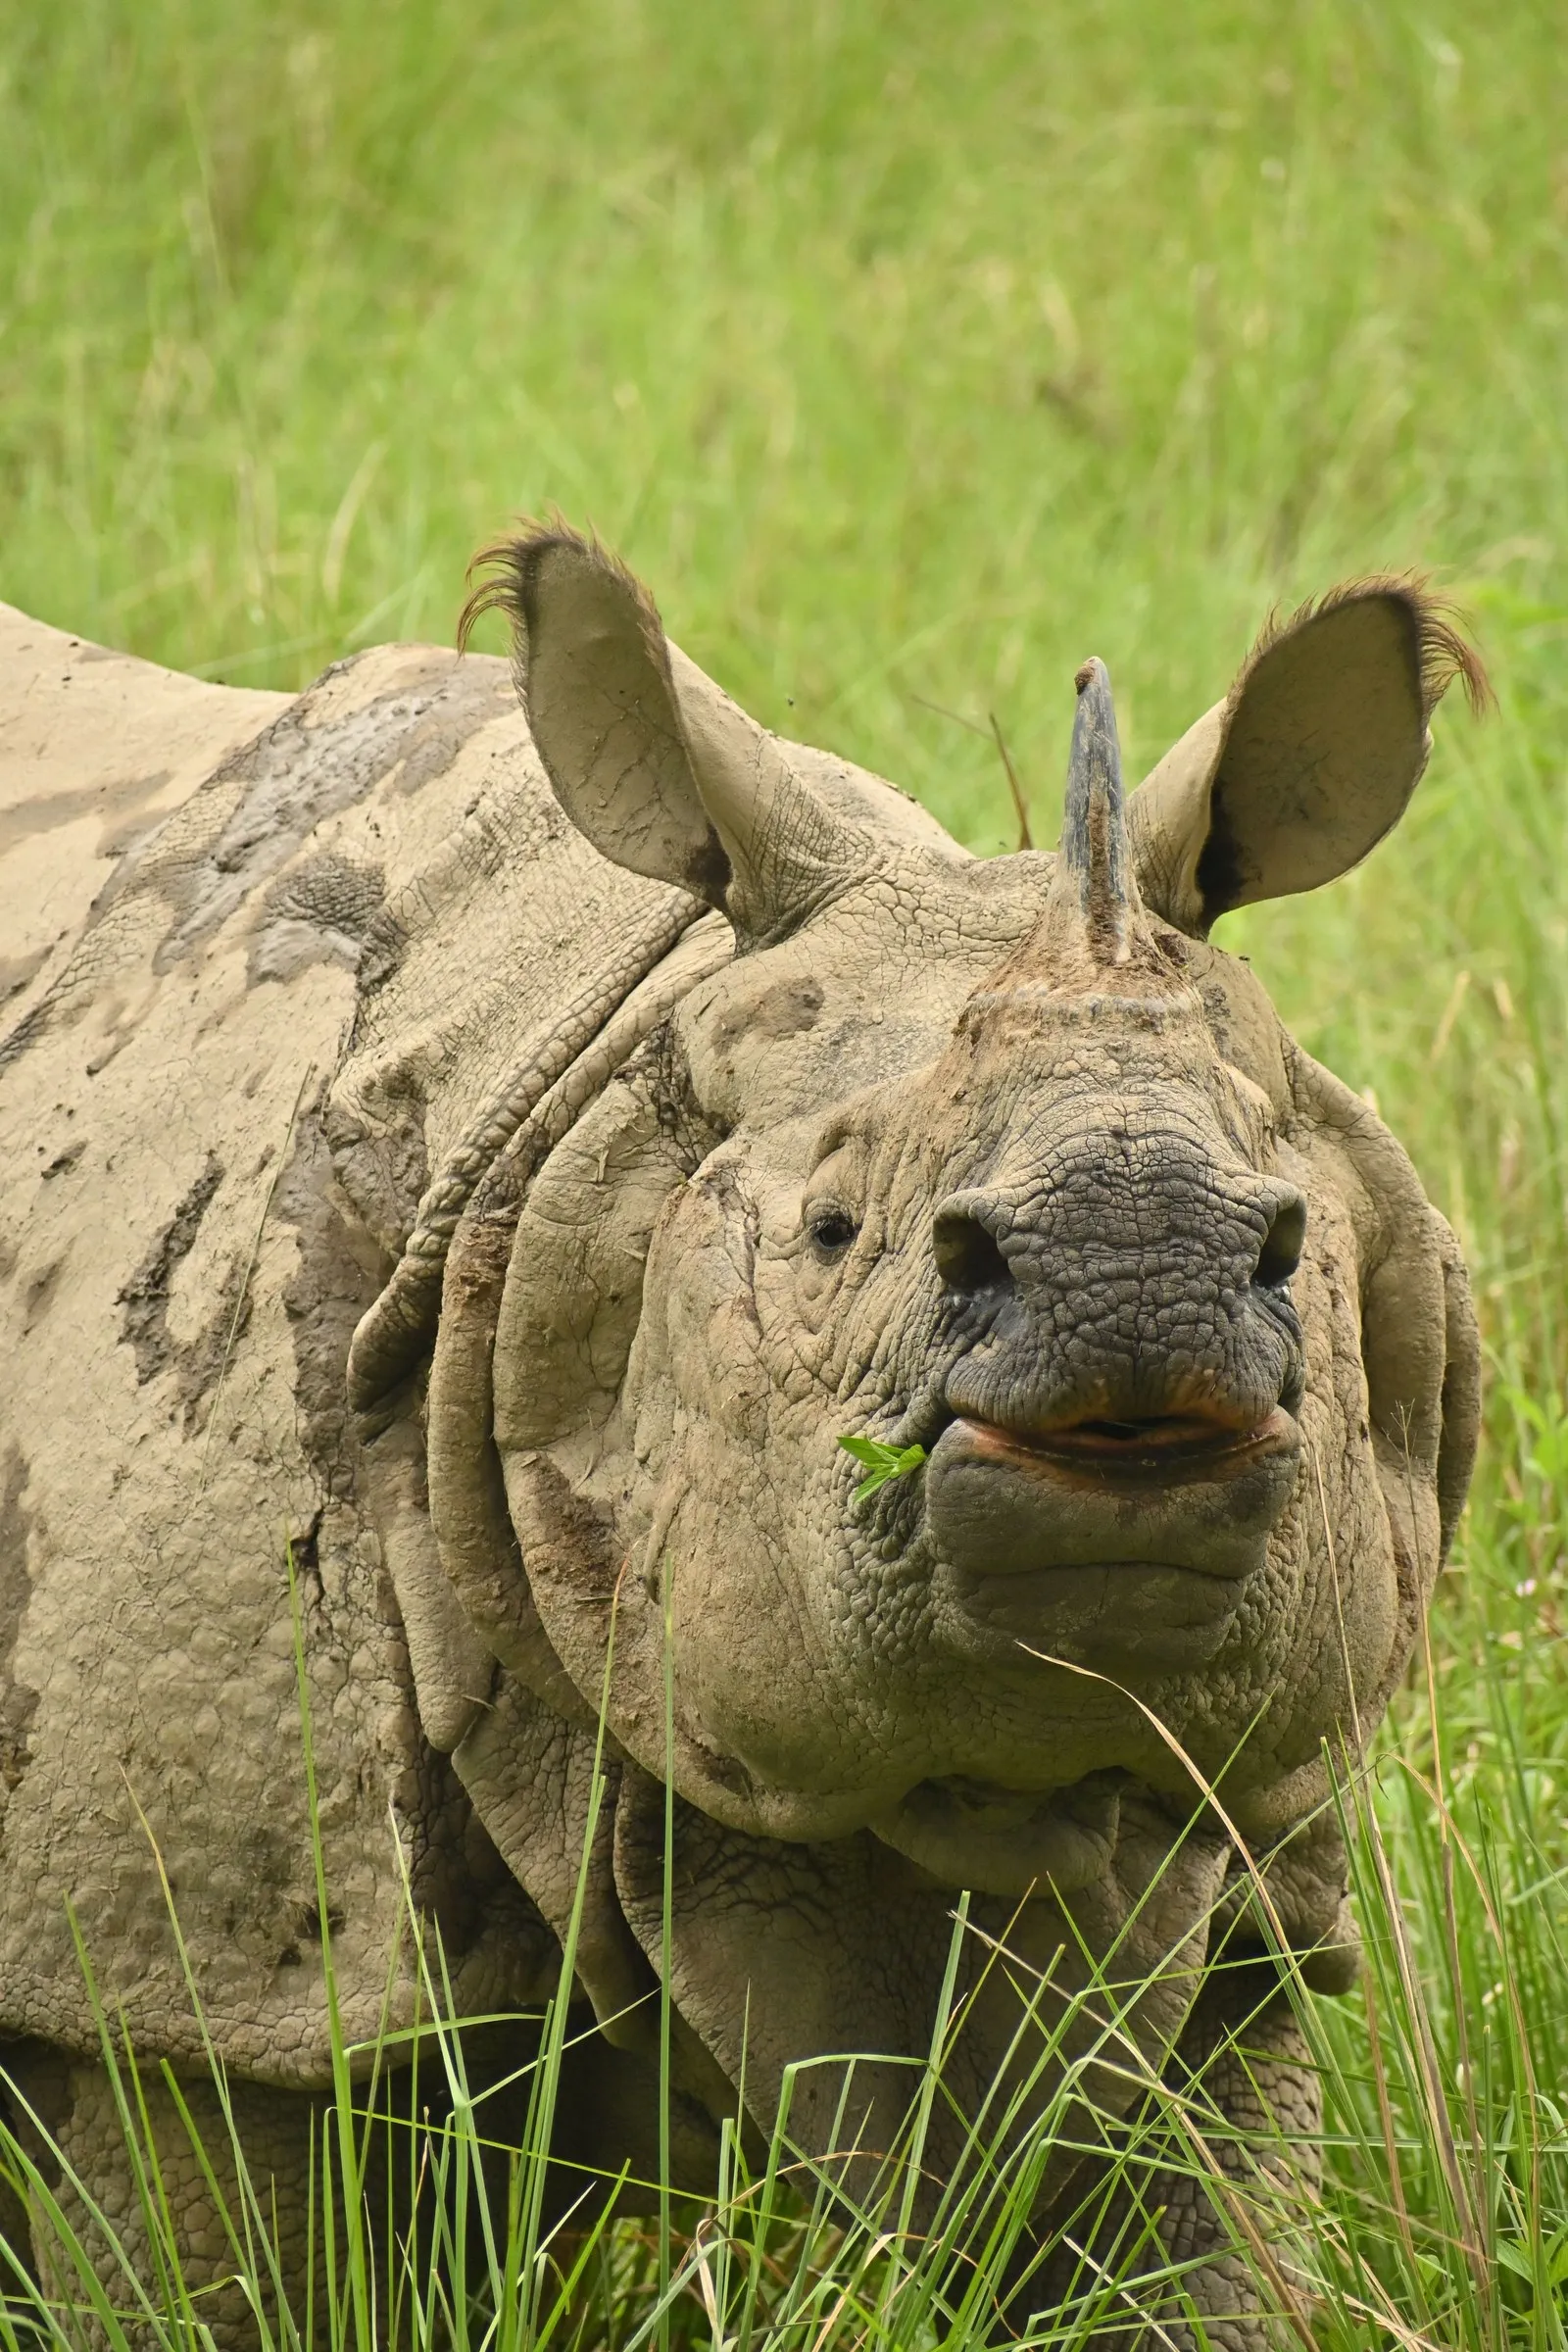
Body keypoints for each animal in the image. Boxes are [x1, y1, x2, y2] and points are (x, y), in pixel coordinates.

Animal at [0, 532, 1483, 2342]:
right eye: (835, 1231)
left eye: (1290, 1236)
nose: (1138, 1255)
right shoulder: (191, 1967)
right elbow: (205, 2264)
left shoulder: (1248, 1897)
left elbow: (1190, 2255)